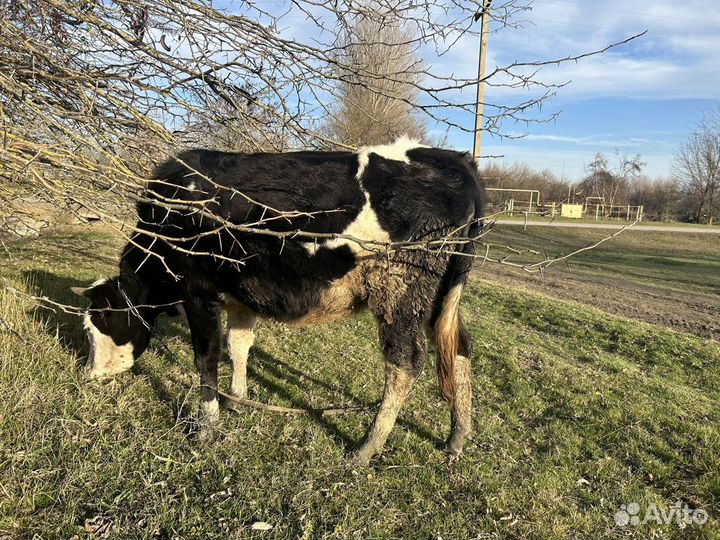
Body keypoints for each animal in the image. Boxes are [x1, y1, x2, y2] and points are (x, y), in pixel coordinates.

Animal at [73, 137, 484, 466]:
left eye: (97, 324)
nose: (87, 374)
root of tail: (453, 158)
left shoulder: (198, 291)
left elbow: (206, 357)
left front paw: (206, 426)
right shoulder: (240, 295)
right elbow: (238, 345)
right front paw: (237, 400)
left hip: (399, 290)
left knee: (406, 362)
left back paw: (366, 447)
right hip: (439, 297)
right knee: (458, 348)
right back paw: (457, 437)